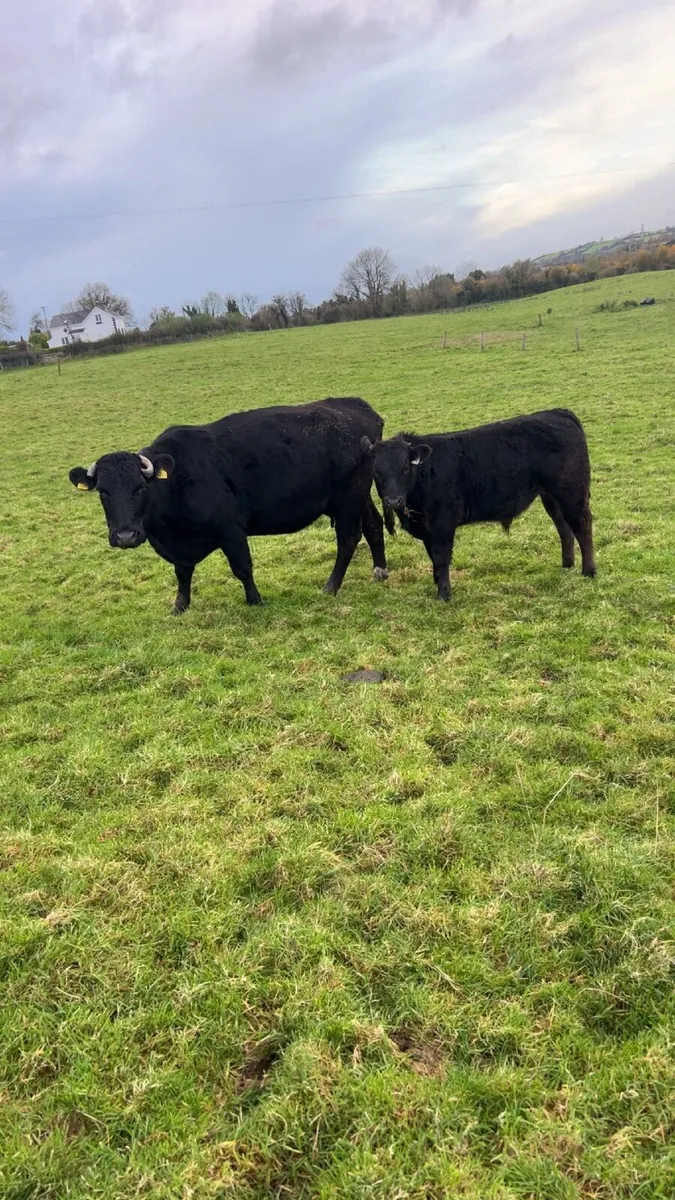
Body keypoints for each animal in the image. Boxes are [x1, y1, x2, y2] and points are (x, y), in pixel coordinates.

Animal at [69, 397, 389, 612]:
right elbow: (182, 573)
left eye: (140, 488)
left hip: (349, 499)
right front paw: (180, 606)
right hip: (358, 497)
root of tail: (357, 407)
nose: (125, 536)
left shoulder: (230, 529)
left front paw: (255, 601)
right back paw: (380, 571)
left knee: (348, 540)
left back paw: (331, 586)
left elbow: (242, 568)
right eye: (103, 492)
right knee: (374, 526)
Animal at [362, 408, 596, 600]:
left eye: (404, 468)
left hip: (572, 494)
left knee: (582, 527)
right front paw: (437, 582)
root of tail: (558, 413)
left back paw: (589, 571)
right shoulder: (427, 529)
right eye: (376, 472)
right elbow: (432, 557)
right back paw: (567, 565)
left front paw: (444, 594)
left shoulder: (443, 523)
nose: (393, 500)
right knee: (563, 527)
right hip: (551, 497)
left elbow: (440, 557)